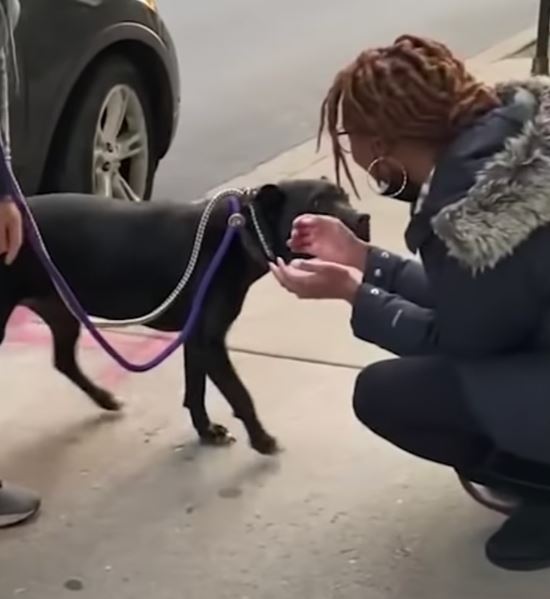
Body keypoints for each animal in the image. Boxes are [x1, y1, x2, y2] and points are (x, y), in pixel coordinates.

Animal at [1, 178, 370, 454]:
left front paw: (206, 431)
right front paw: (262, 440)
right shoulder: (210, 341)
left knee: (64, 360)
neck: (239, 233)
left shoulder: (196, 337)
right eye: (318, 203)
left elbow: (196, 387)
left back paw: (105, 399)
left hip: (61, 310)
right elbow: (239, 393)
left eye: (344, 195)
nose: (363, 218)